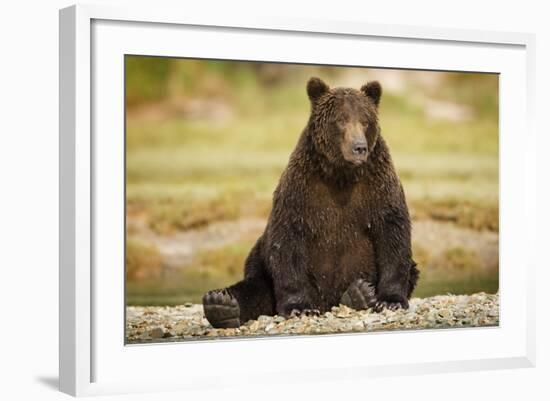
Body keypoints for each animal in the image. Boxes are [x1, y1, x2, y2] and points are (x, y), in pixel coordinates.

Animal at [205, 76, 420, 326]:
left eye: (365, 121)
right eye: (340, 120)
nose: (359, 148)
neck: (341, 175)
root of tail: (326, 302)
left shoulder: (377, 186)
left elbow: (392, 232)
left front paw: (390, 300)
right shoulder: (302, 189)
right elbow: (288, 240)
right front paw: (298, 307)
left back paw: (359, 294)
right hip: (259, 258)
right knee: (254, 287)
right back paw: (221, 304)